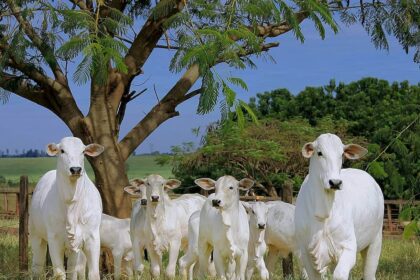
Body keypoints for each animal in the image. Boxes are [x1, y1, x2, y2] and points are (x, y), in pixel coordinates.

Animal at [29, 138, 104, 280]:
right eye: (62, 150)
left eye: (83, 151)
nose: (75, 169)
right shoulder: (54, 240)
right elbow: (59, 274)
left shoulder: (92, 238)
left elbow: (93, 273)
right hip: (37, 236)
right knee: (37, 267)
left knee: (72, 269)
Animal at [296, 133, 384, 280]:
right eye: (319, 153)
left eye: (341, 154)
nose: (335, 182)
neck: (324, 213)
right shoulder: (306, 252)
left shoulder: (348, 246)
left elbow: (340, 274)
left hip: (375, 241)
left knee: (369, 273)